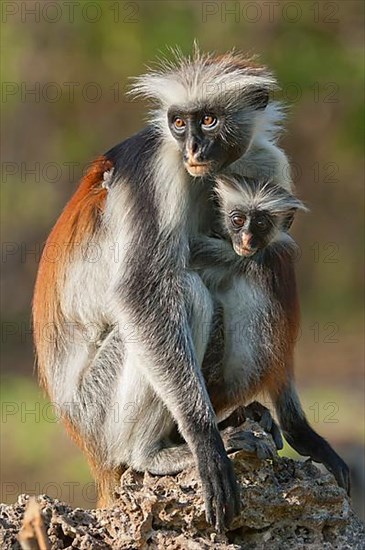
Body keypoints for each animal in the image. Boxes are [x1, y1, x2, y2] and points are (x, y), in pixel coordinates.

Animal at [33, 48, 346, 536]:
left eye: (210, 120)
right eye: (179, 123)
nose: (193, 149)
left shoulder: (264, 163)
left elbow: (262, 241)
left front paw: (301, 430)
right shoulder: (155, 170)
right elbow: (141, 289)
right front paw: (205, 440)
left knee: (259, 262)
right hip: (95, 413)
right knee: (185, 291)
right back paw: (158, 451)